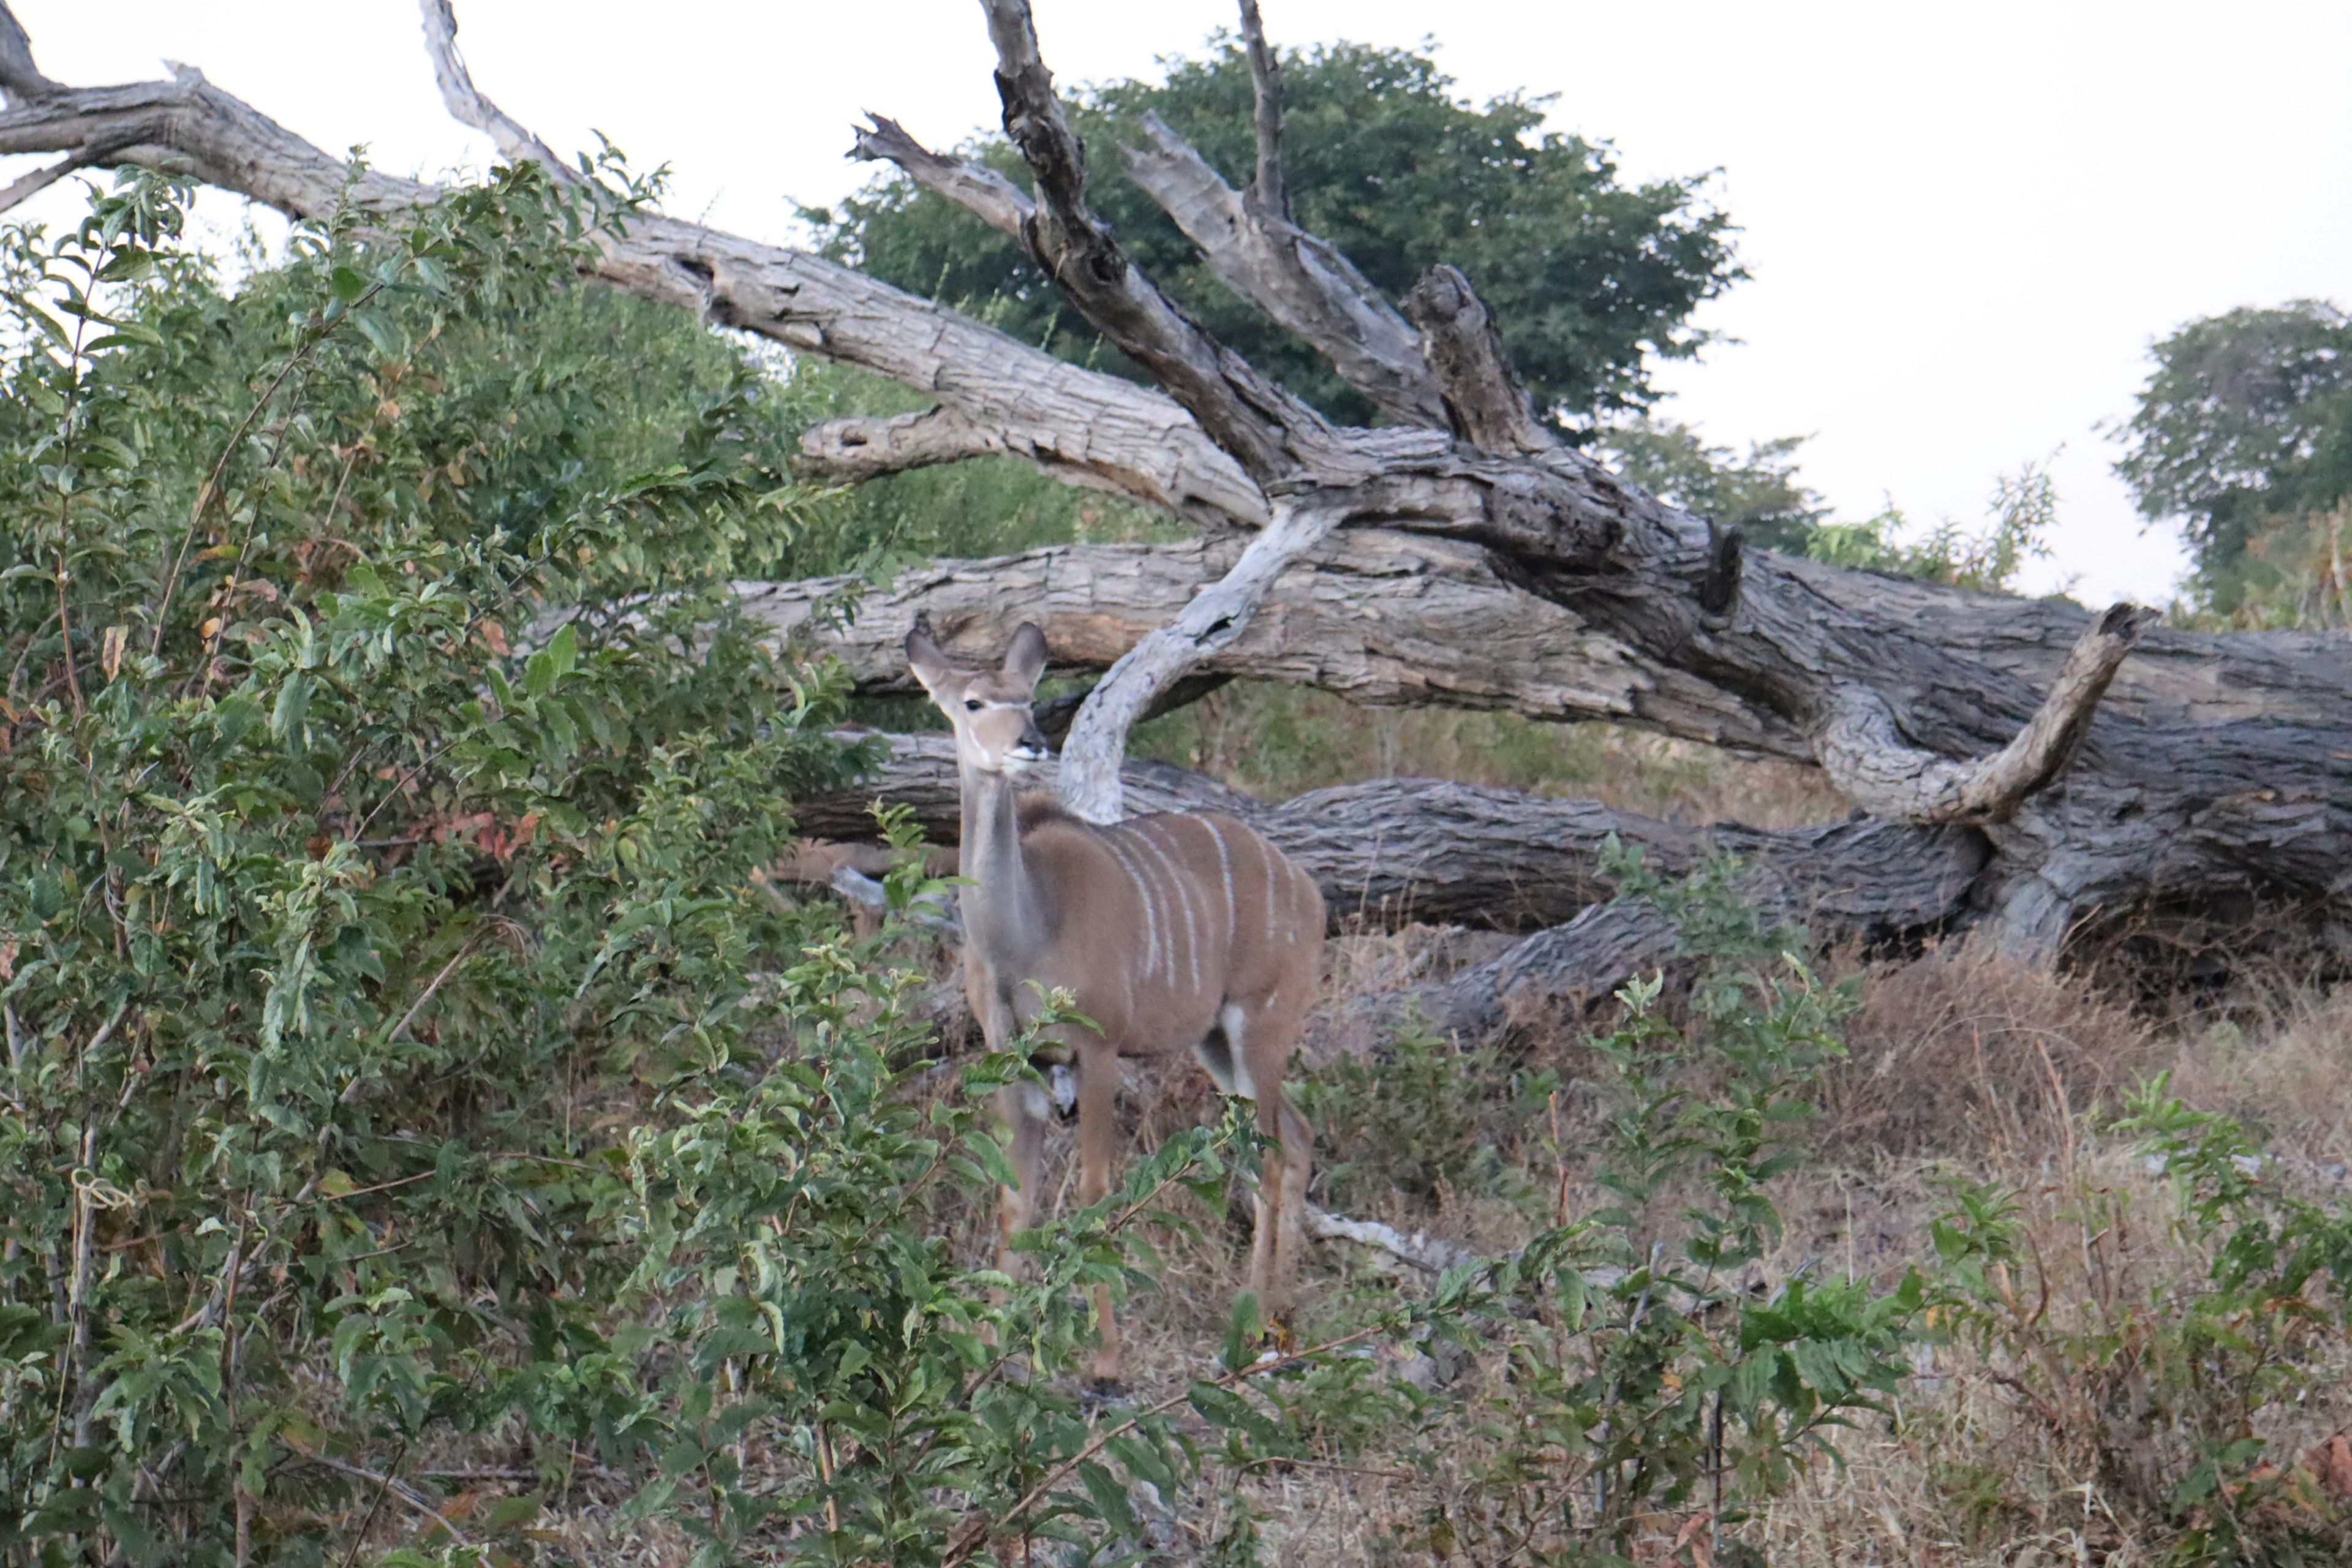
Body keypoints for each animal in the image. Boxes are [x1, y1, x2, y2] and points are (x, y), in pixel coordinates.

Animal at [908, 620, 1326, 1382]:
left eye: (1030, 700)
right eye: (974, 702)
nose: (1030, 744)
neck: (1028, 927)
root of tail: (1309, 891)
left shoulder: (1098, 1051)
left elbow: (1094, 1192)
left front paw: (1104, 1362)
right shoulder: (1016, 1059)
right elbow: (1015, 1198)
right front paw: (988, 1350)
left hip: (1261, 1025)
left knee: (1274, 1154)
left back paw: (1254, 1325)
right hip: (1216, 1044)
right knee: (1296, 1139)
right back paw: (1280, 1319)